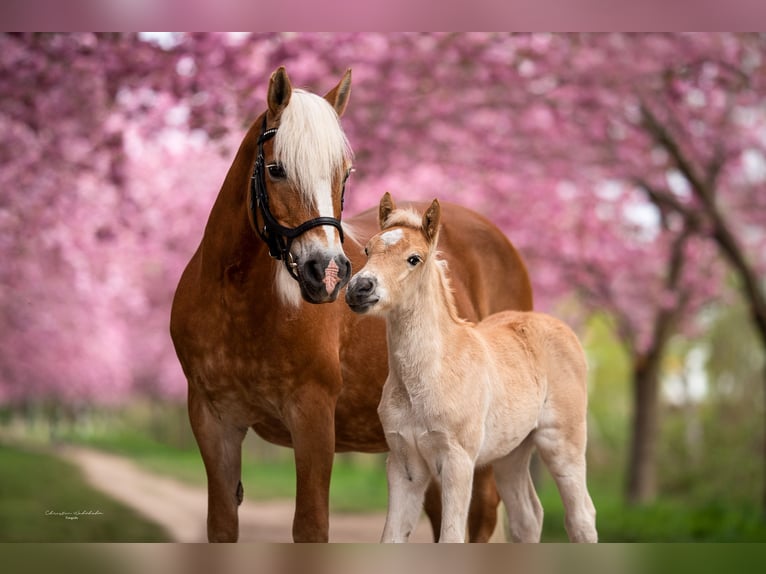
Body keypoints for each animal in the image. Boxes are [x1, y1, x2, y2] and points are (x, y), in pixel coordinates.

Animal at [171, 67, 536, 544]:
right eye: (276, 169)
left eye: (343, 174)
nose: (327, 272)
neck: (238, 305)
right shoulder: (213, 421)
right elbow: (221, 525)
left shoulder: (312, 417)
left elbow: (310, 526)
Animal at [346, 194, 600, 544]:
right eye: (368, 250)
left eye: (414, 259)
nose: (359, 289)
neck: (431, 374)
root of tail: (560, 327)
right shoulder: (403, 465)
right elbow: (392, 538)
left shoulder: (458, 461)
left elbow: (452, 536)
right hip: (511, 451)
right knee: (527, 516)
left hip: (562, 440)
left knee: (581, 515)